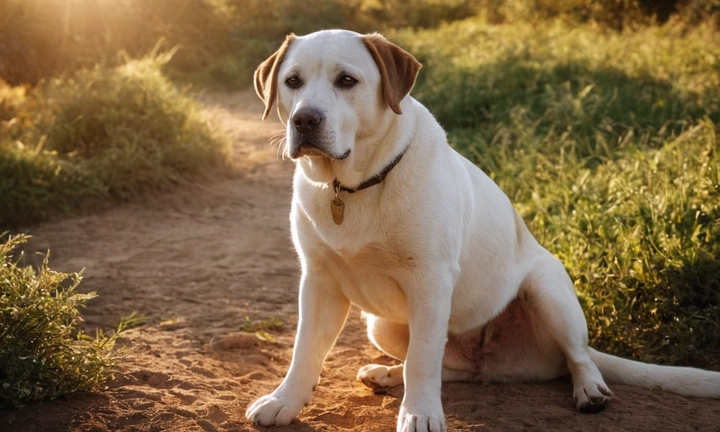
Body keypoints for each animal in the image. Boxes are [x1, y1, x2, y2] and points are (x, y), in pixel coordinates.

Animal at [246, 28, 720, 430]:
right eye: (292, 81)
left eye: (347, 80)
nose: (305, 120)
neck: (353, 186)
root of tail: (494, 362)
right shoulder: (319, 280)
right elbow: (306, 350)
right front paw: (284, 402)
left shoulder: (430, 280)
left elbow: (423, 359)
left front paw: (420, 415)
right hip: (380, 324)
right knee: (455, 369)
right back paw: (388, 374)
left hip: (548, 290)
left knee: (578, 357)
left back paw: (590, 390)